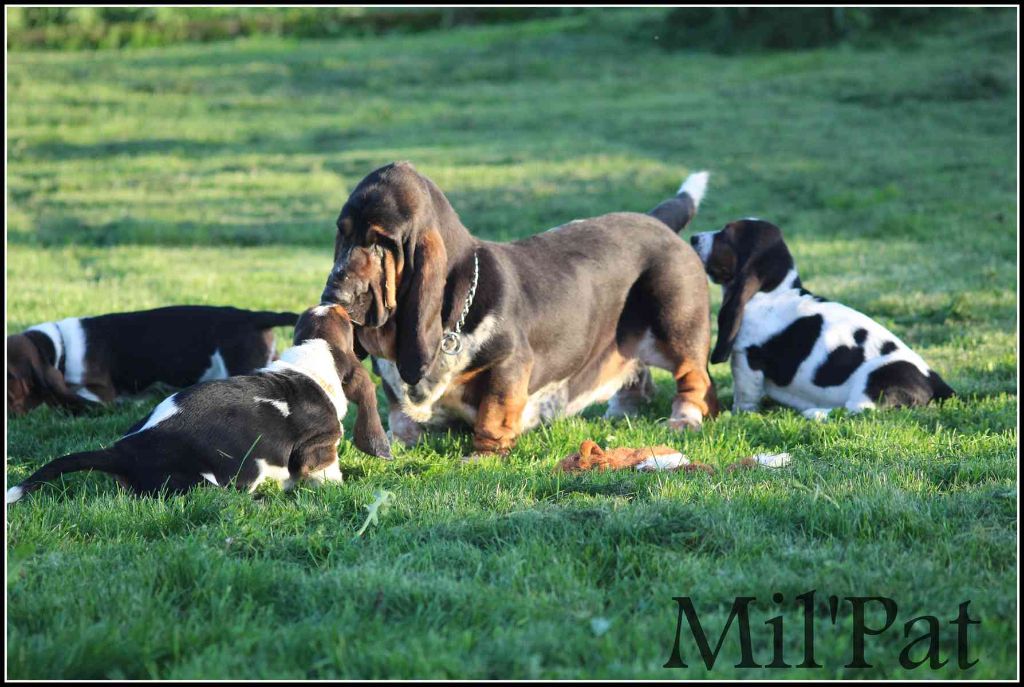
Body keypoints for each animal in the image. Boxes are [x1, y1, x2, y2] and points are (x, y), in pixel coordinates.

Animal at [323, 158, 716, 454]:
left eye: (381, 242)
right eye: (342, 232)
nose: (333, 296)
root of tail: (658, 221)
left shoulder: (510, 363)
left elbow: (494, 414)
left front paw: (481, 455)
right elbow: (399, 417)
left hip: (677, 329)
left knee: (694, 382)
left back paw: (683, 419)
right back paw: (620, 412)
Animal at [688, 219, 950, 419]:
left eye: (726, 233)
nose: (693, 238)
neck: (772, 292)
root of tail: (936, 381)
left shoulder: (746, 358)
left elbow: (745, 395)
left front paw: (737, 414)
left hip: (874, 380)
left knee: (858, 411)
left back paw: (816, 413)